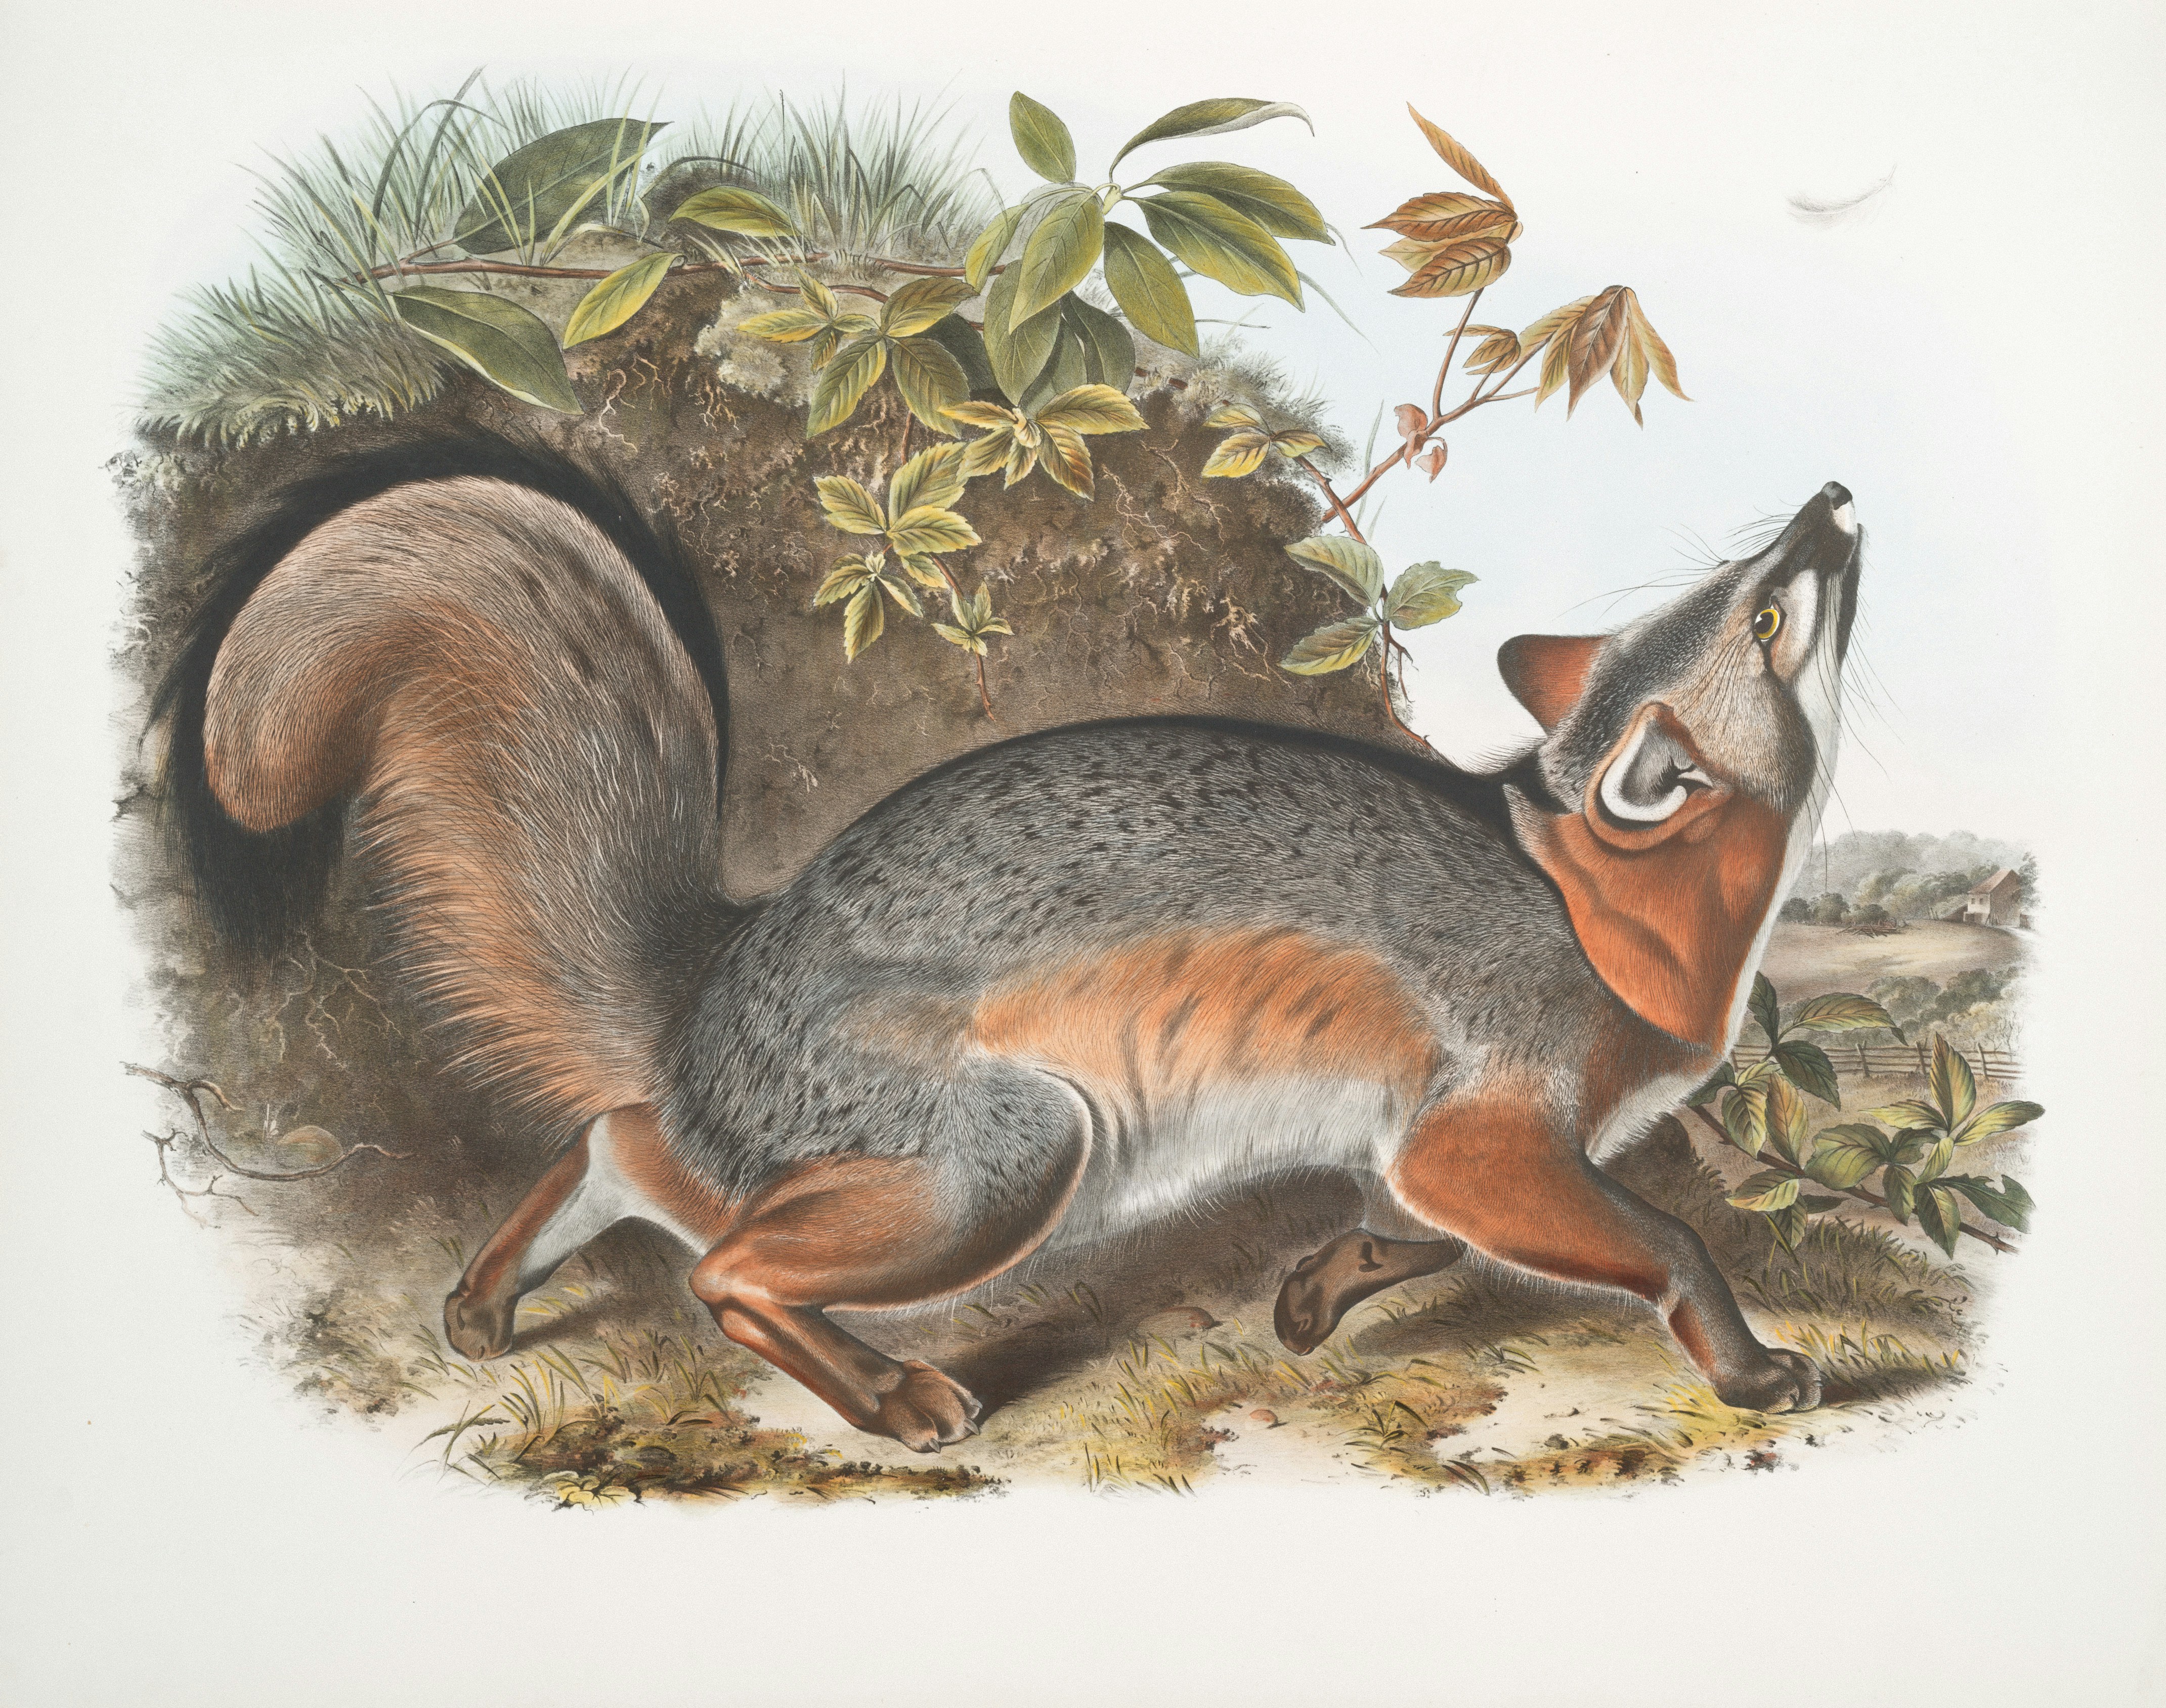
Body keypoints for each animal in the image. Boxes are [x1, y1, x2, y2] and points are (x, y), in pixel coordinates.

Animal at [157, 435, 1860, 1451]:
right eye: (1764, 612)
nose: (1830, 503)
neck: (1595, 901)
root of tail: (724, 972)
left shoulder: (1432, 1144)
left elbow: (1413, 1228)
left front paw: (1315, 1296)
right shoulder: (1482, 1131)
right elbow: (1664, 1238)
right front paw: (1746, 1365)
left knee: (622, 1142)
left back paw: (488, 1299)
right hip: (1009, 1163)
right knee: (721, 1264)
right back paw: (893, 1396)